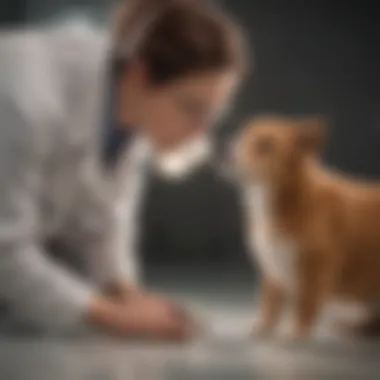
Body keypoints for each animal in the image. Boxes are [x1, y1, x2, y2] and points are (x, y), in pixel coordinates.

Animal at [235, 116, 380, 342]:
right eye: (243, 139)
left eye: (267, 145)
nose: (229, 157)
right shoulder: (273, 268)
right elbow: (269, 302)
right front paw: (265, 325)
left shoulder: (315, 268)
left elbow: (305, 302)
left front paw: (297, 331)